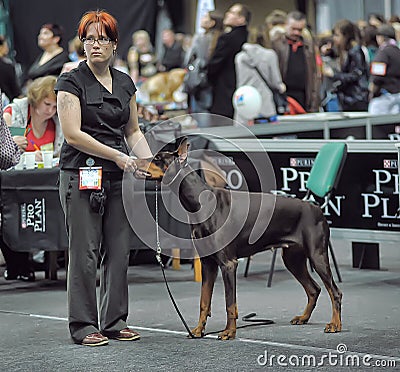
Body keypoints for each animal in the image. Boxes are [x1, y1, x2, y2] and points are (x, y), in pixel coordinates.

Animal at [148, 137, 342, 340]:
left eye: (158, 159)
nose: (138, 163)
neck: (201, 202)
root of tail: (317, 208)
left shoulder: (228, 264)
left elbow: (230, 303)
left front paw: (229, 332)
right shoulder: (208, 263)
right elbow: (204, 301)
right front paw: (198, 330)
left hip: (317, 255)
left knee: (335, 292)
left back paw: (335, 324)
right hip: (293, 259)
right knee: (314, 289)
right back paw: (303, 318)